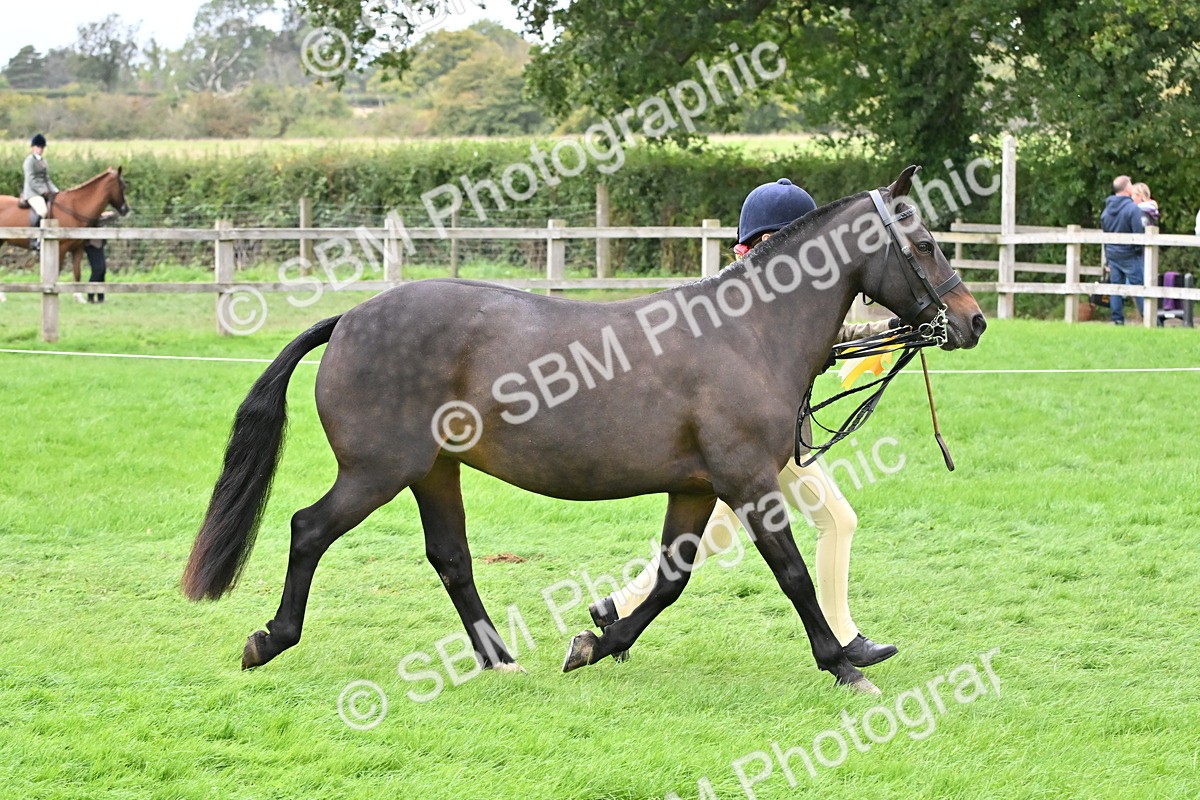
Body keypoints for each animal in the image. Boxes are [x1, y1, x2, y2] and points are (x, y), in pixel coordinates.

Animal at [0, 167, 131, 282]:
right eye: (123, 186)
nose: (126, 209)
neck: (74, 208)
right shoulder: (60, 249)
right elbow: (55, 275)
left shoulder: (78, 249)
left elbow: (77, 275)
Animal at [182, 166, 986, 695]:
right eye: (923, 244)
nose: (973, 321)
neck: (746, 333)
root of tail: (349, 318)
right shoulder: (748, 481)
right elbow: (790, 573)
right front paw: (842, 664)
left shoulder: (696, 489)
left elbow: (670, 580)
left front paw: (597, 641)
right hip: (378, 472)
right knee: (309, 529)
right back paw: (269, 640)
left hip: (434, 471)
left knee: (451, 557)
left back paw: (499, 658)